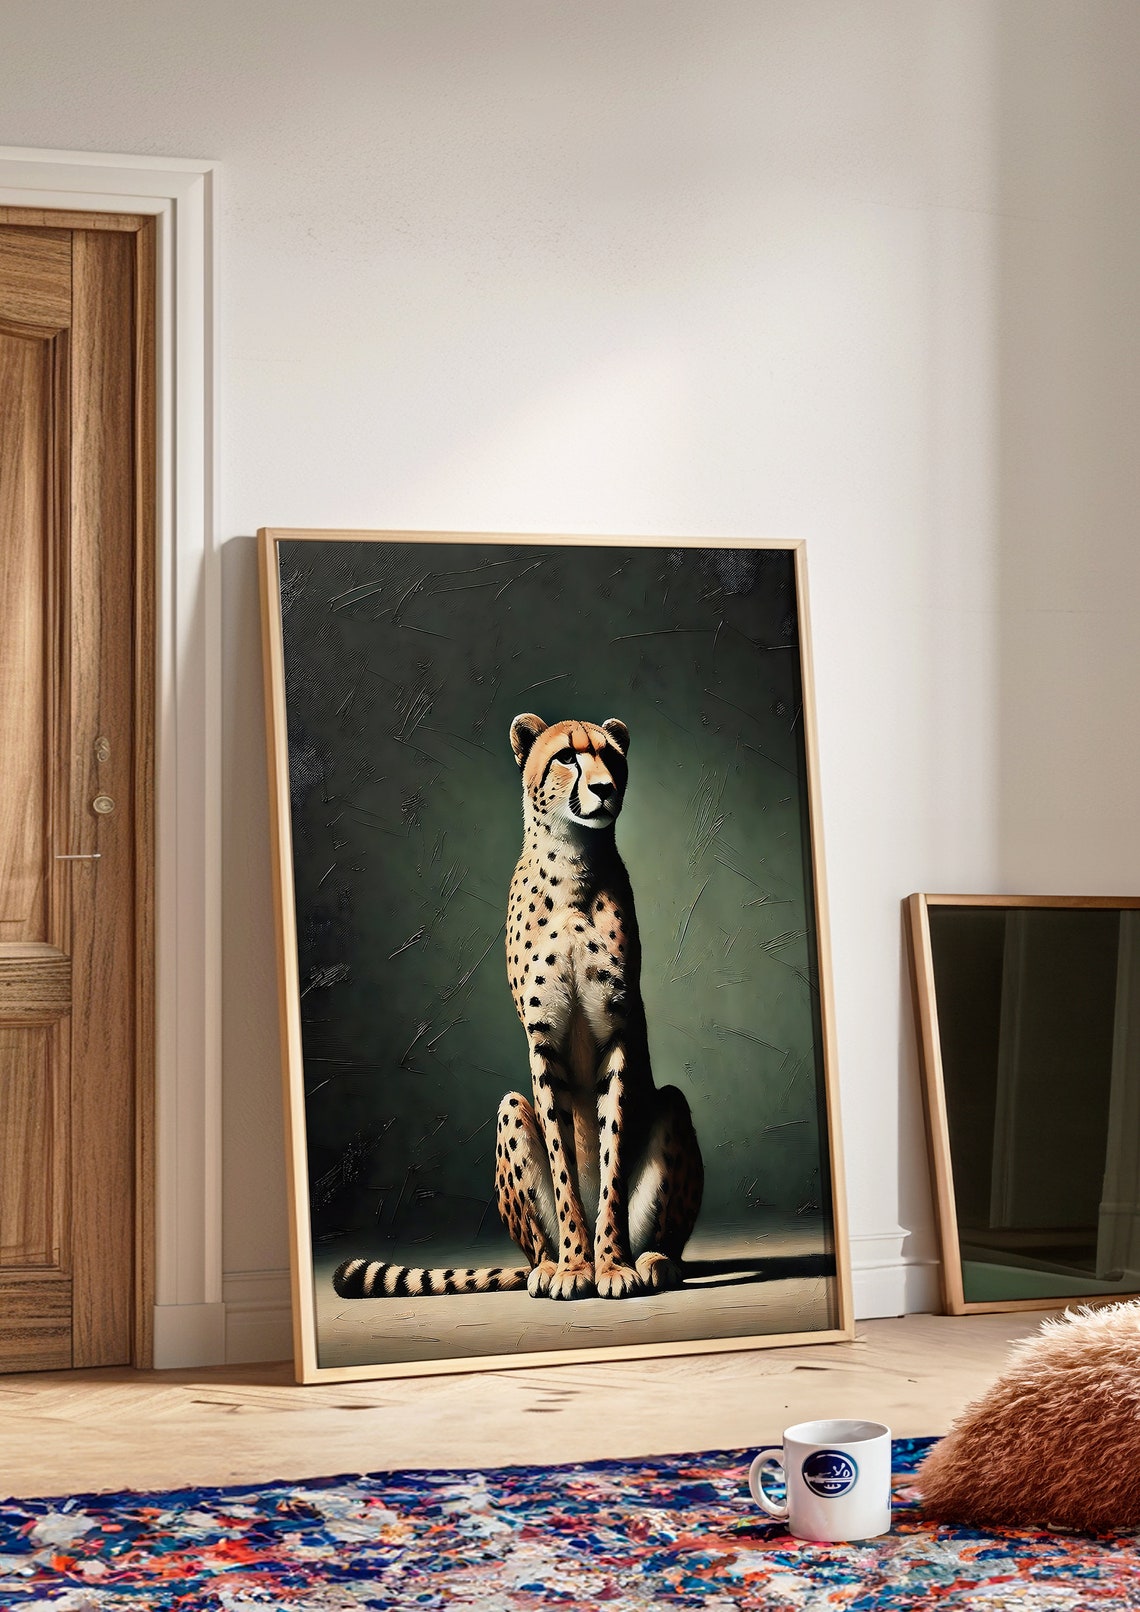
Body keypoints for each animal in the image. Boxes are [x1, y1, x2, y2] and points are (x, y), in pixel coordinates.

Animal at [332, 713, 703, 1302]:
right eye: (567, 757)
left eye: (610, 756)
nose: (605, 788)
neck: (574, 864)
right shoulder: (543, 1039)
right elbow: (562, 1163)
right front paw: (576, 1267)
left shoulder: (618, 1033)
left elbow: (611, 1163)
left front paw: (610, 1265)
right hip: (510, 1111)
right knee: (534, 1240)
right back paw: (550, 1266)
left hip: (670, 1106)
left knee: (667, 1163)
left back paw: (652, 1260)